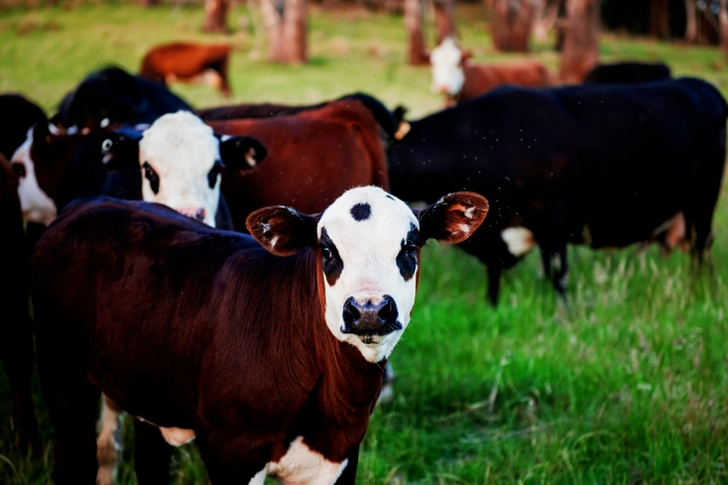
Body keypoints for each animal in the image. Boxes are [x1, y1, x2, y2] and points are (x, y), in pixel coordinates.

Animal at [30, 186, 489, 484]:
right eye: (327, 251)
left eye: (409, 247)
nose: (368, 309)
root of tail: (86, 204)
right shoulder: (232, 450)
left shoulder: (340, 453)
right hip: (61, 375)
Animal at [388, 77, 727, 305]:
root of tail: (700, 86)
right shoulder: (494, 236)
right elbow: (494, 274)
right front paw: (492, 306)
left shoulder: (553, 217)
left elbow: (557, 274)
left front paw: (561, 315)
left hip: (703, 199)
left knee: (700, 247)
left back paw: (699, 289)